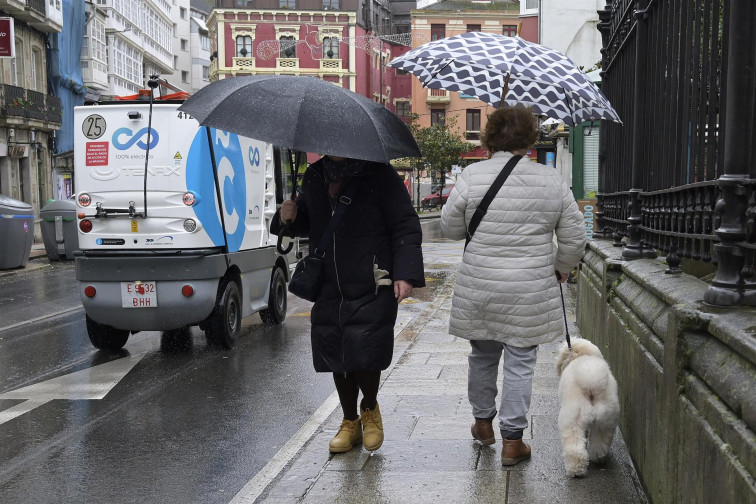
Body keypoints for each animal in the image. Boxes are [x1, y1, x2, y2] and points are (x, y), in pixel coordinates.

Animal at [556, 338, 620, 476]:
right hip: (606, 419)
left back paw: (576, 470)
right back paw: (599, 458)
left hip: (573, 418)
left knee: (575, 446)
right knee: (600, 442)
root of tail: (591, 383)